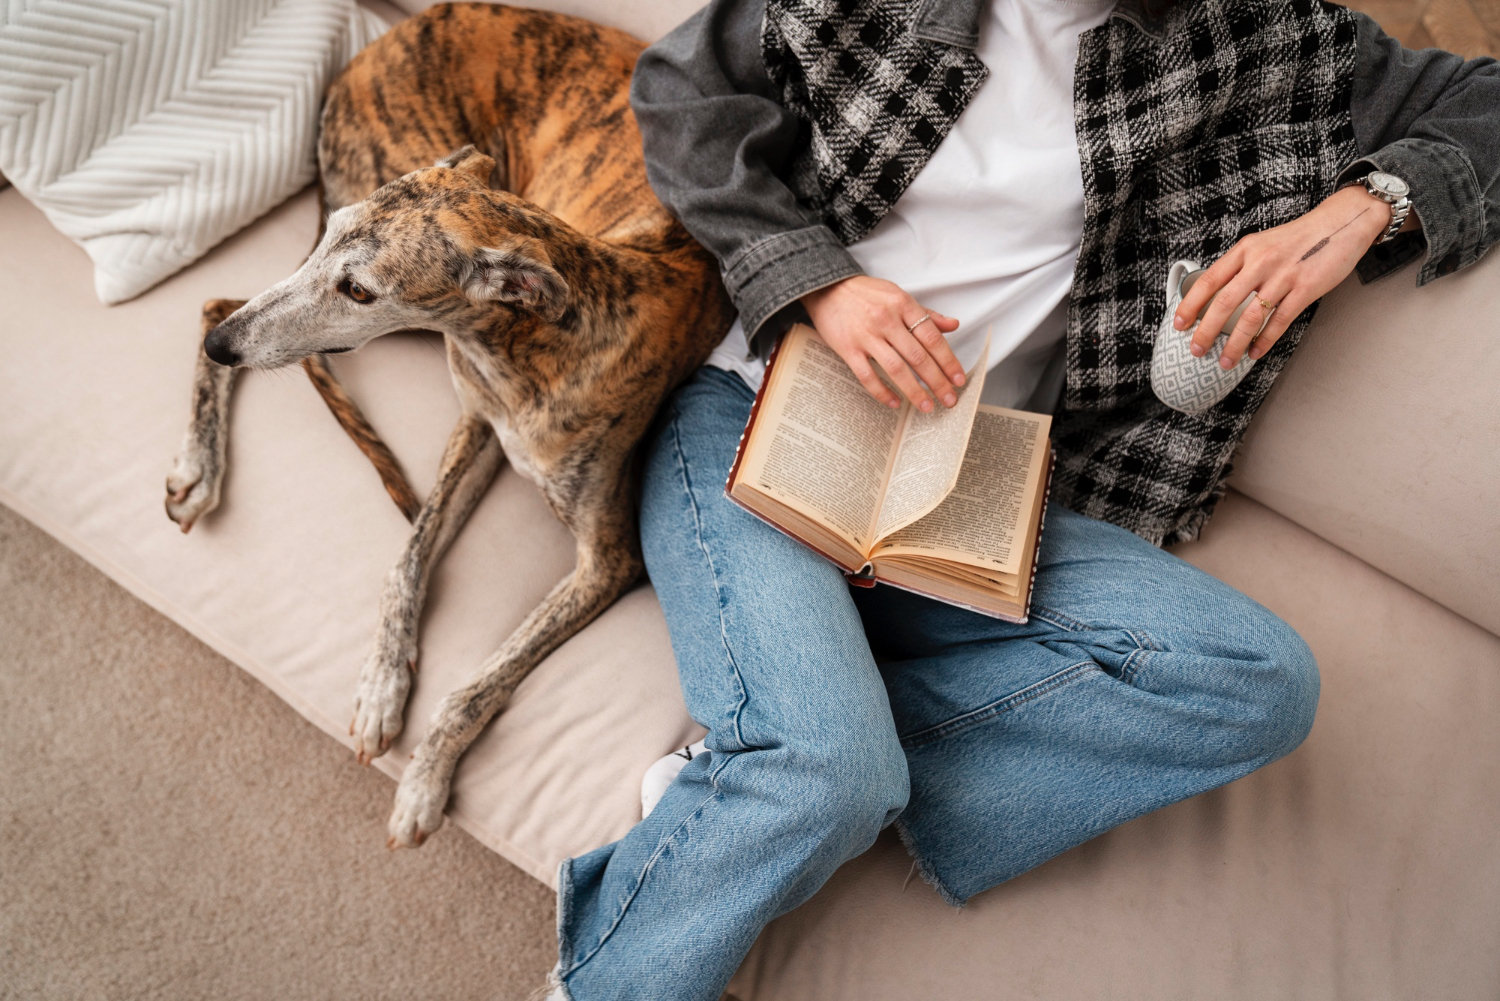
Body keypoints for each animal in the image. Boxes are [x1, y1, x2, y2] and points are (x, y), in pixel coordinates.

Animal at [162, 3, 732, 852]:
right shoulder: (475, 423)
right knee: (216, 302)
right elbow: (406, 558)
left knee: (218, 304)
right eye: (334, 236)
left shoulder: (606, 559)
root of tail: (379, 45)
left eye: (360, 288)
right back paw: (199, 459)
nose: (225, 348)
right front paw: (379, 690)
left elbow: (478, 682)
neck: (536, 341)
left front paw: (423, 780)